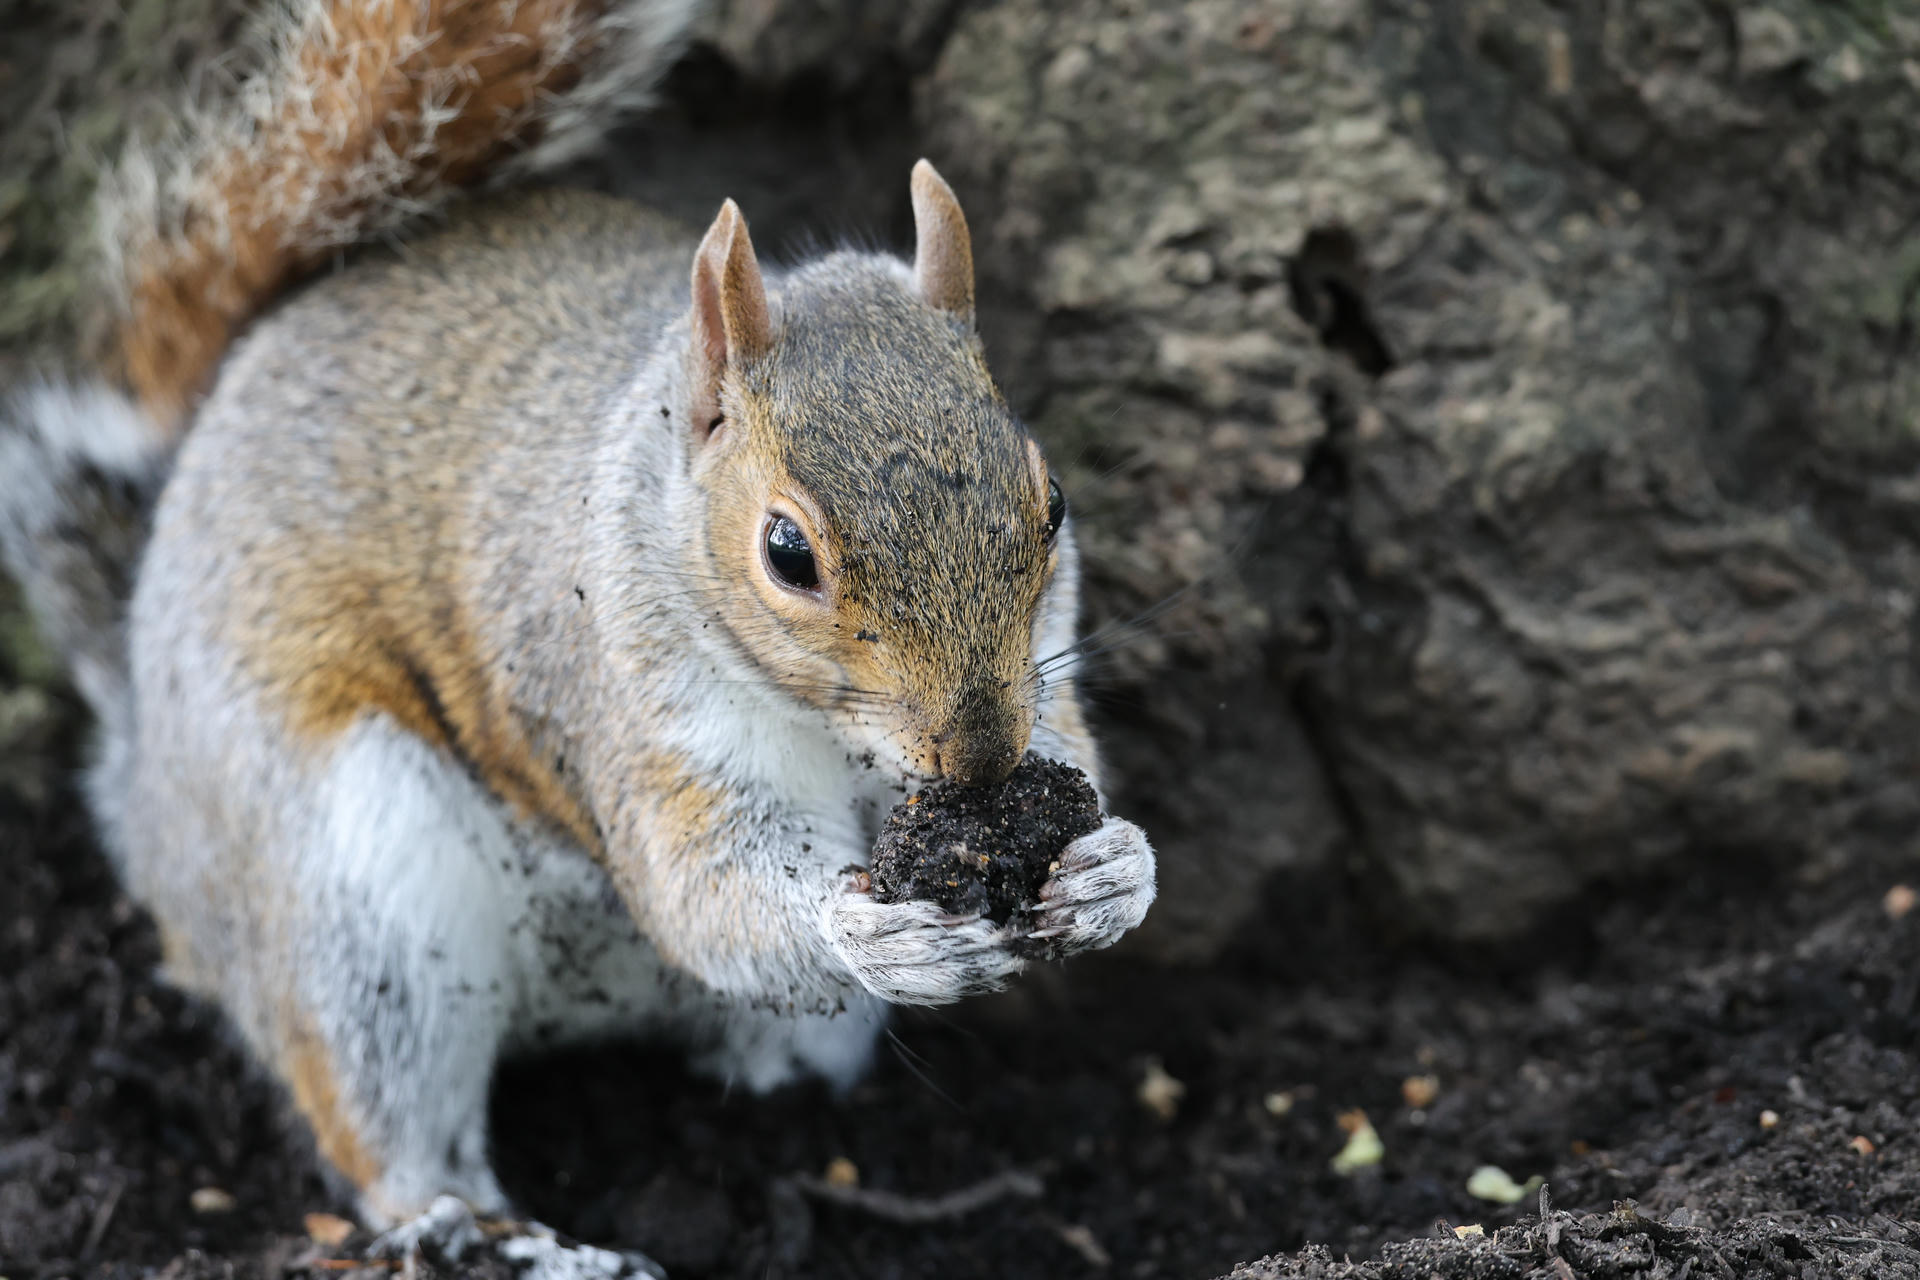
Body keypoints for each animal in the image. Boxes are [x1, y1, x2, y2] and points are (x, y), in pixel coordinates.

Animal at [0, 0, 1157, 1253]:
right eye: (786, 552)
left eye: (1054, 501)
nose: (982, 757)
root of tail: (141, 780)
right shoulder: (631, 719)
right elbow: (703, 889)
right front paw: (869, 930)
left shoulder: (1045, 674)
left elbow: (1074, 751)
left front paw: (1113, 866)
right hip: (349, 902)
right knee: (389, 1133)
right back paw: (510, 1238)